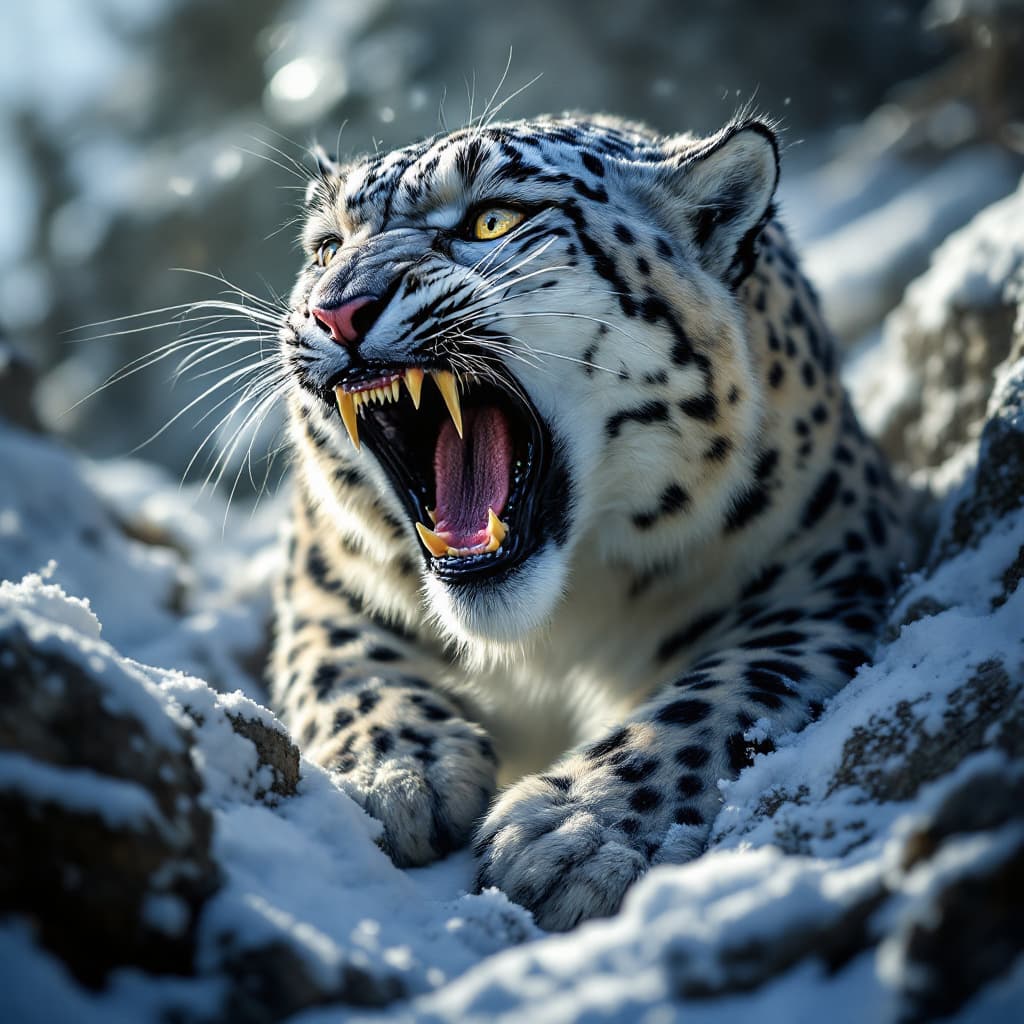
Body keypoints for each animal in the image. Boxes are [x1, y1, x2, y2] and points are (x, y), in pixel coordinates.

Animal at [269, 112, 909, 932]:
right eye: (326, 248)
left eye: (492, 219)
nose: (339, 307)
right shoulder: (325, 582)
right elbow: (340, 666)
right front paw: (400, 770)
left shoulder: (826, 578)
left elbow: (726, 693)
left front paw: (571, 832)